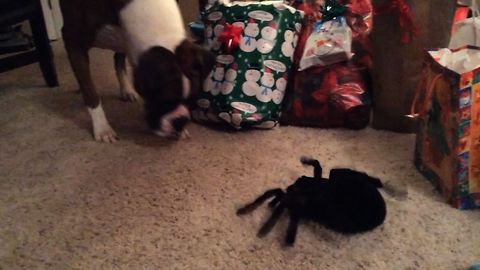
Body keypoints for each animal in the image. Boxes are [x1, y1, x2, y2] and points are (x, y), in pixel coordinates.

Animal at [61, 0, 215, 142]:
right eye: (164, 99)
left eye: (192, 99)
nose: (180, 122)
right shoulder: (73, 41)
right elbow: (90, 91)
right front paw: (102, 128)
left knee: (118, 60)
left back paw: (127, 90)